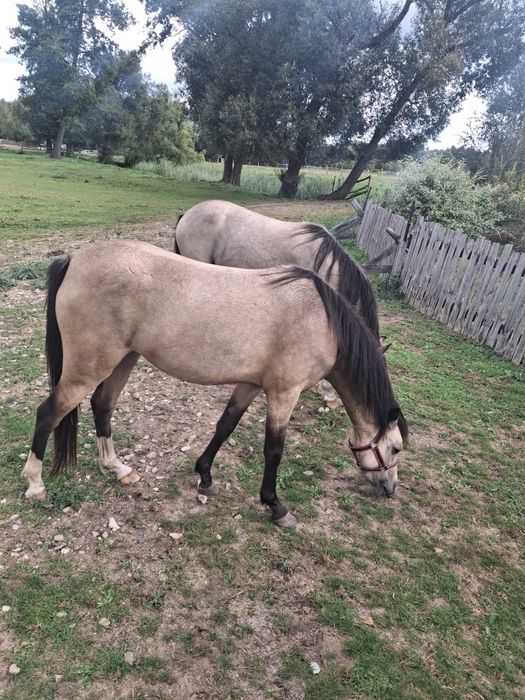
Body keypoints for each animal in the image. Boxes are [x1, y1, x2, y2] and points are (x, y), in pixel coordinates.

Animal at [22, 240, 407, 527]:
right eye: (396, 449)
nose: (390, 489)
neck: (323, 321)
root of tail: (74, 260)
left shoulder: (250, 384)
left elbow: (226, 424)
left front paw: (205, 476)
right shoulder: (284, 393)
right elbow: (274, 449)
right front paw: (275, 506)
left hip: (124, 359)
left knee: (102, 404)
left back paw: (118, 469)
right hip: (88, 367)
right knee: (48, 413)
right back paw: (35, 485)